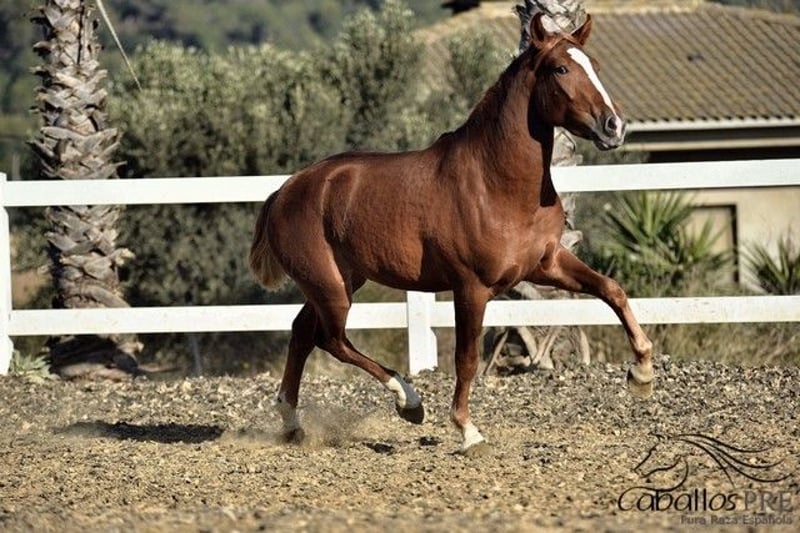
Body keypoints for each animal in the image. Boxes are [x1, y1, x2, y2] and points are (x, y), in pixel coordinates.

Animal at [249, 13, 654, 455]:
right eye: (561, 68)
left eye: (593, 64)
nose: (614, 126)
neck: (496, 184)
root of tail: (285, 191)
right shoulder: (471, 287)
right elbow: (467, 358)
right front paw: (467, 431)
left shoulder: (547, 263)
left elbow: (611, 290)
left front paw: (642, 374)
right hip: (331, 288)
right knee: (330, 339)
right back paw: (408, 401)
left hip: (340, 281)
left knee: (302, 332)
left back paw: (293, 424)